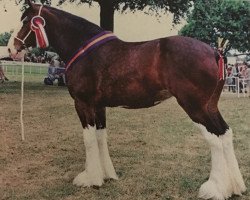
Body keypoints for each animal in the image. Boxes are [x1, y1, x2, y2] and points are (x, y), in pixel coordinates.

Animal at [9, 1, 246, 198]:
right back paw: (235, 187)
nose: (12, 48)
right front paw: (106, 175)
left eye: (26, 20)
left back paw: (214, 189)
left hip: (195, 106)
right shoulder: (99, 106)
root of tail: (215, 52)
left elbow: (88, 140)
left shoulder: (83, 104)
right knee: (225, 134)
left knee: (214, 139)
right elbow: (100, 137)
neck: (84, 48)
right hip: (210, 106)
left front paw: (90, 179)